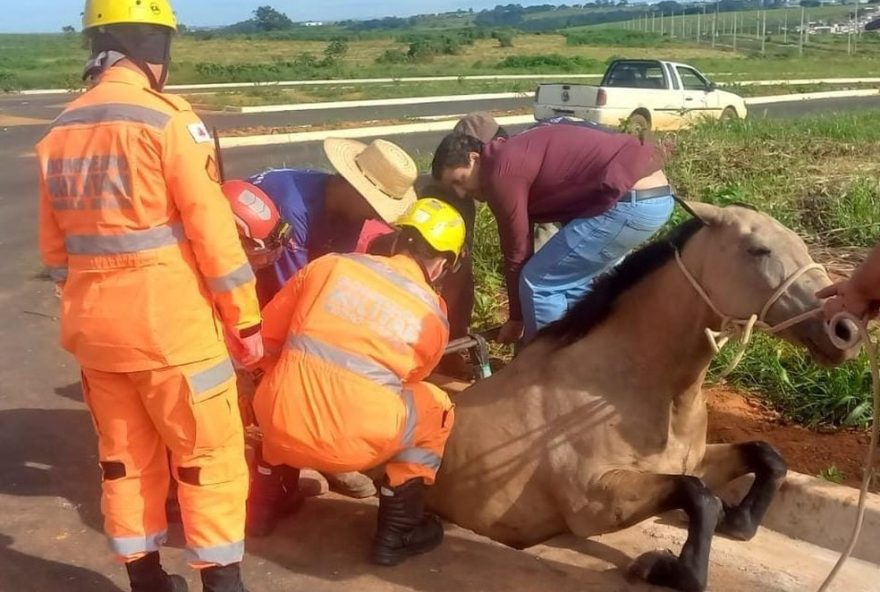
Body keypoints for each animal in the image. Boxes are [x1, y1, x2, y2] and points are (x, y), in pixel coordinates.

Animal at [430, 202, 864, 592]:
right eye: (757, 250)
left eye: (802, 246)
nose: (846, 329)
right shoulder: (594, 504)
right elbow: (699, 496)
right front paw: (670, 570)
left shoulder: (693, 461)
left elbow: (766, 457)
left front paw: (738, 522)